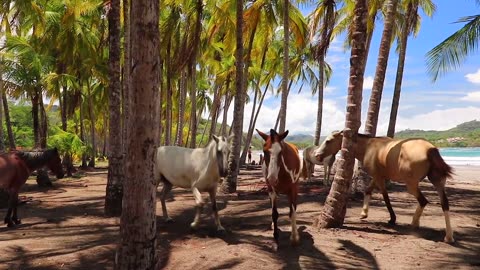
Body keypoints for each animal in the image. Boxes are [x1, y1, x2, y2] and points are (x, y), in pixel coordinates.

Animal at [316, 131, 454, 243]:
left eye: (328, 141)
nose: (317, 155)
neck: (369, 146)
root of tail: (430, 149)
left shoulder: (379, 178)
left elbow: (385, 196)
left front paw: (392, 218)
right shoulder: (378, 176)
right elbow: (368, 190)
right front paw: (364, 213)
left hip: (411, 185)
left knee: (423, 201)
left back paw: (415, 223)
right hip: (438, 181)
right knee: (444, 204)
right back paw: (448, 237)